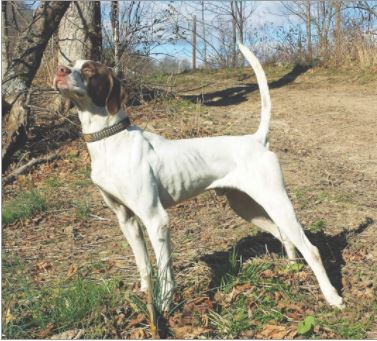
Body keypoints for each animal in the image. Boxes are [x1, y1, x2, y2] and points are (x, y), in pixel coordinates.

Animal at [53, 43, 344, 310]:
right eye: (72, 64)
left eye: (89, 70)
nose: (60, 70)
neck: (110, 141)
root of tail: (257, 140)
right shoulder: (127, 220)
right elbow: (144, 264)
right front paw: (146, 297)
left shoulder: (156, 220)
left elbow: (165, 272)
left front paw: (164, 308)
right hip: (246, 207)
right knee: (285, 236)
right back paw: (292, 269)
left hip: (276, 201)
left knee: (312, 250)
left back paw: (332, 297)